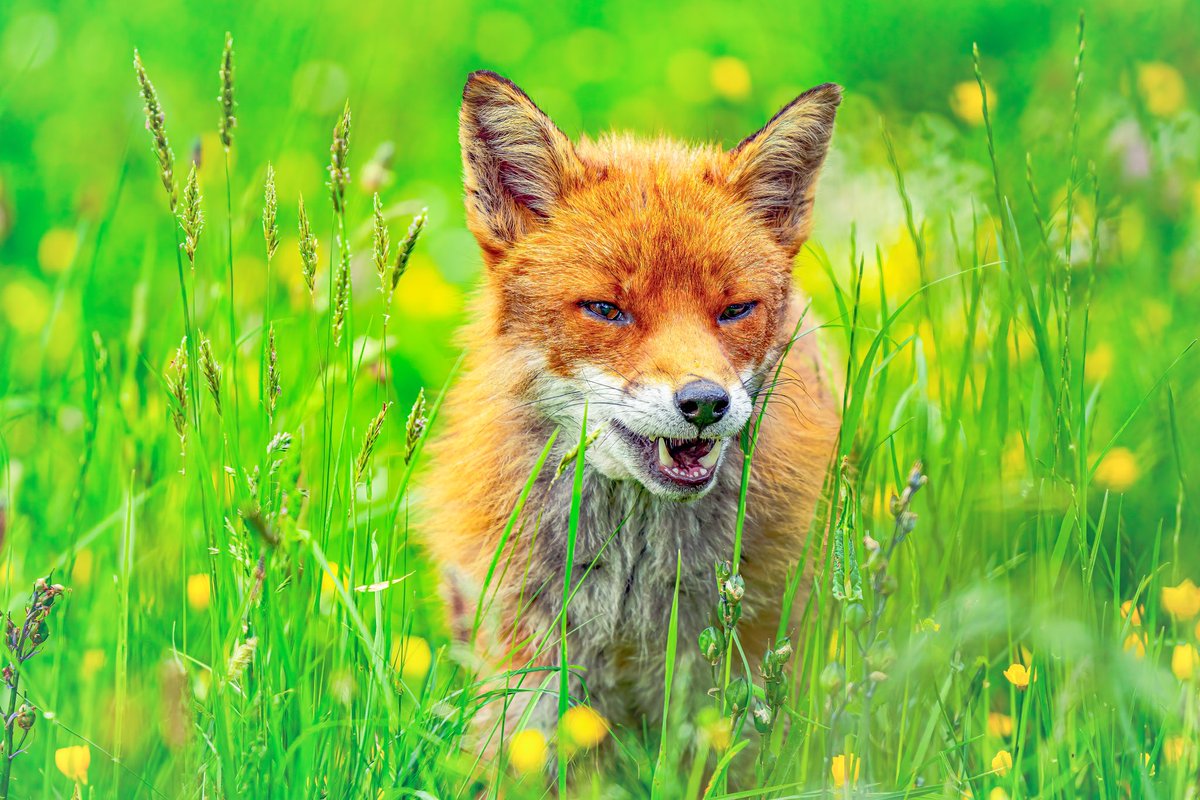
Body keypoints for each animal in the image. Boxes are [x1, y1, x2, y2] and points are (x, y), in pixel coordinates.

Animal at [422, 70, 842, 745]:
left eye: (734, 310)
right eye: (605, 310)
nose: (706, 402)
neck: (630, 589)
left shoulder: (736, 685)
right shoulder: (533, 682)